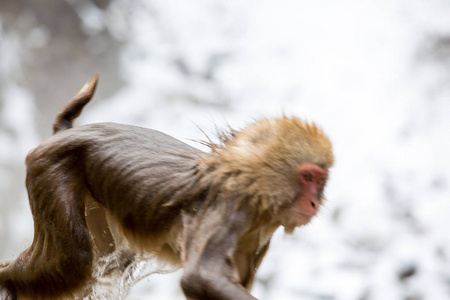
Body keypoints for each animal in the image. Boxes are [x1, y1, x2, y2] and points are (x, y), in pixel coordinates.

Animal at [0, 74, 334, 298]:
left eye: (320, 181)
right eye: (308, 178)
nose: (314, 202)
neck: (256, 187)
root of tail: (62, 134)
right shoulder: (230, 205)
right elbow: (201, 278)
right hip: (50, 171)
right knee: (74, 260)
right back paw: (7, 281)